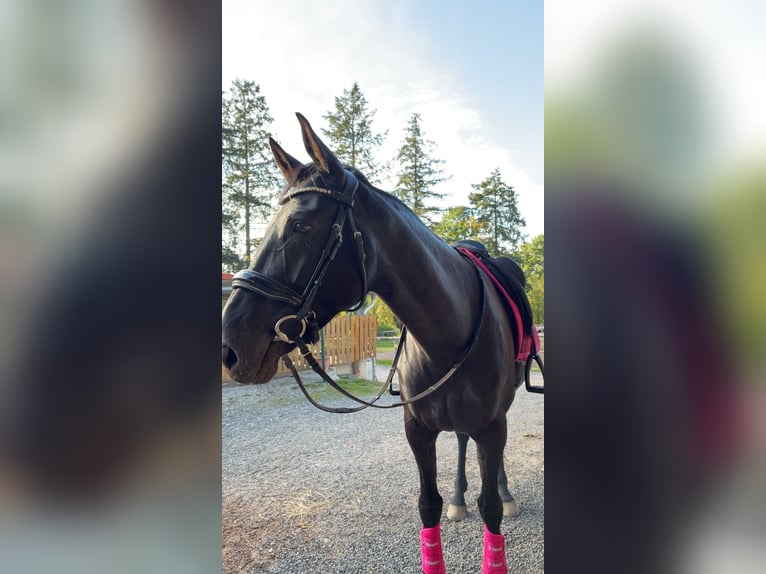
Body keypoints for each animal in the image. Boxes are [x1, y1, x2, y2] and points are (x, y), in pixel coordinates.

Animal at [222, 113, 529, 574]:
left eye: (300, 226)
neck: (447, 335)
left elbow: (490, 508)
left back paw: (507, 493)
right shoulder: (417, 431)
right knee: (460, 441)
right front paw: (451, 501)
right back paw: (459, 498)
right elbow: (428, 505)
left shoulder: (492, 427)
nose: (230, 348)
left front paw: (498, 498)